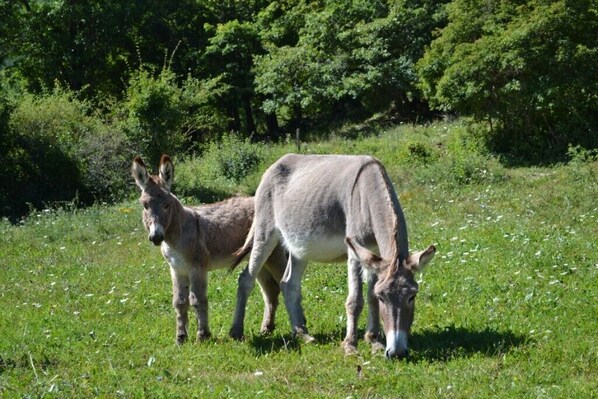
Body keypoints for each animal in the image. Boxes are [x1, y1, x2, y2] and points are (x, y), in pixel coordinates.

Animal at [132, 156, 290, 344]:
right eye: (145, 206)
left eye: (167, 205)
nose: (156, 237)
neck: (179, 231)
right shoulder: (177, 269)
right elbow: (179, 302)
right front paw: (181, 338)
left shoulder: (197, 268)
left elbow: (197, 300)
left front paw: (203, 335)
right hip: (260, 258)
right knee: (271, 290)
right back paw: (266, 328)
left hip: (274, 256)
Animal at [231, 155, 436, 360]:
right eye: (383, 297)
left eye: (412, 296)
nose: (397, 353)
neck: (368, 190)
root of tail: (275, 164)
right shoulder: (355, 253)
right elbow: (355, 301)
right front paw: (350, 346)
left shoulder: (374, 254)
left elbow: (369, 298)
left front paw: (374, 341)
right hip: (265, 232)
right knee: (246, 278)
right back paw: (236, 332)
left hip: (299, 246)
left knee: (288, 284)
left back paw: (302, 334)